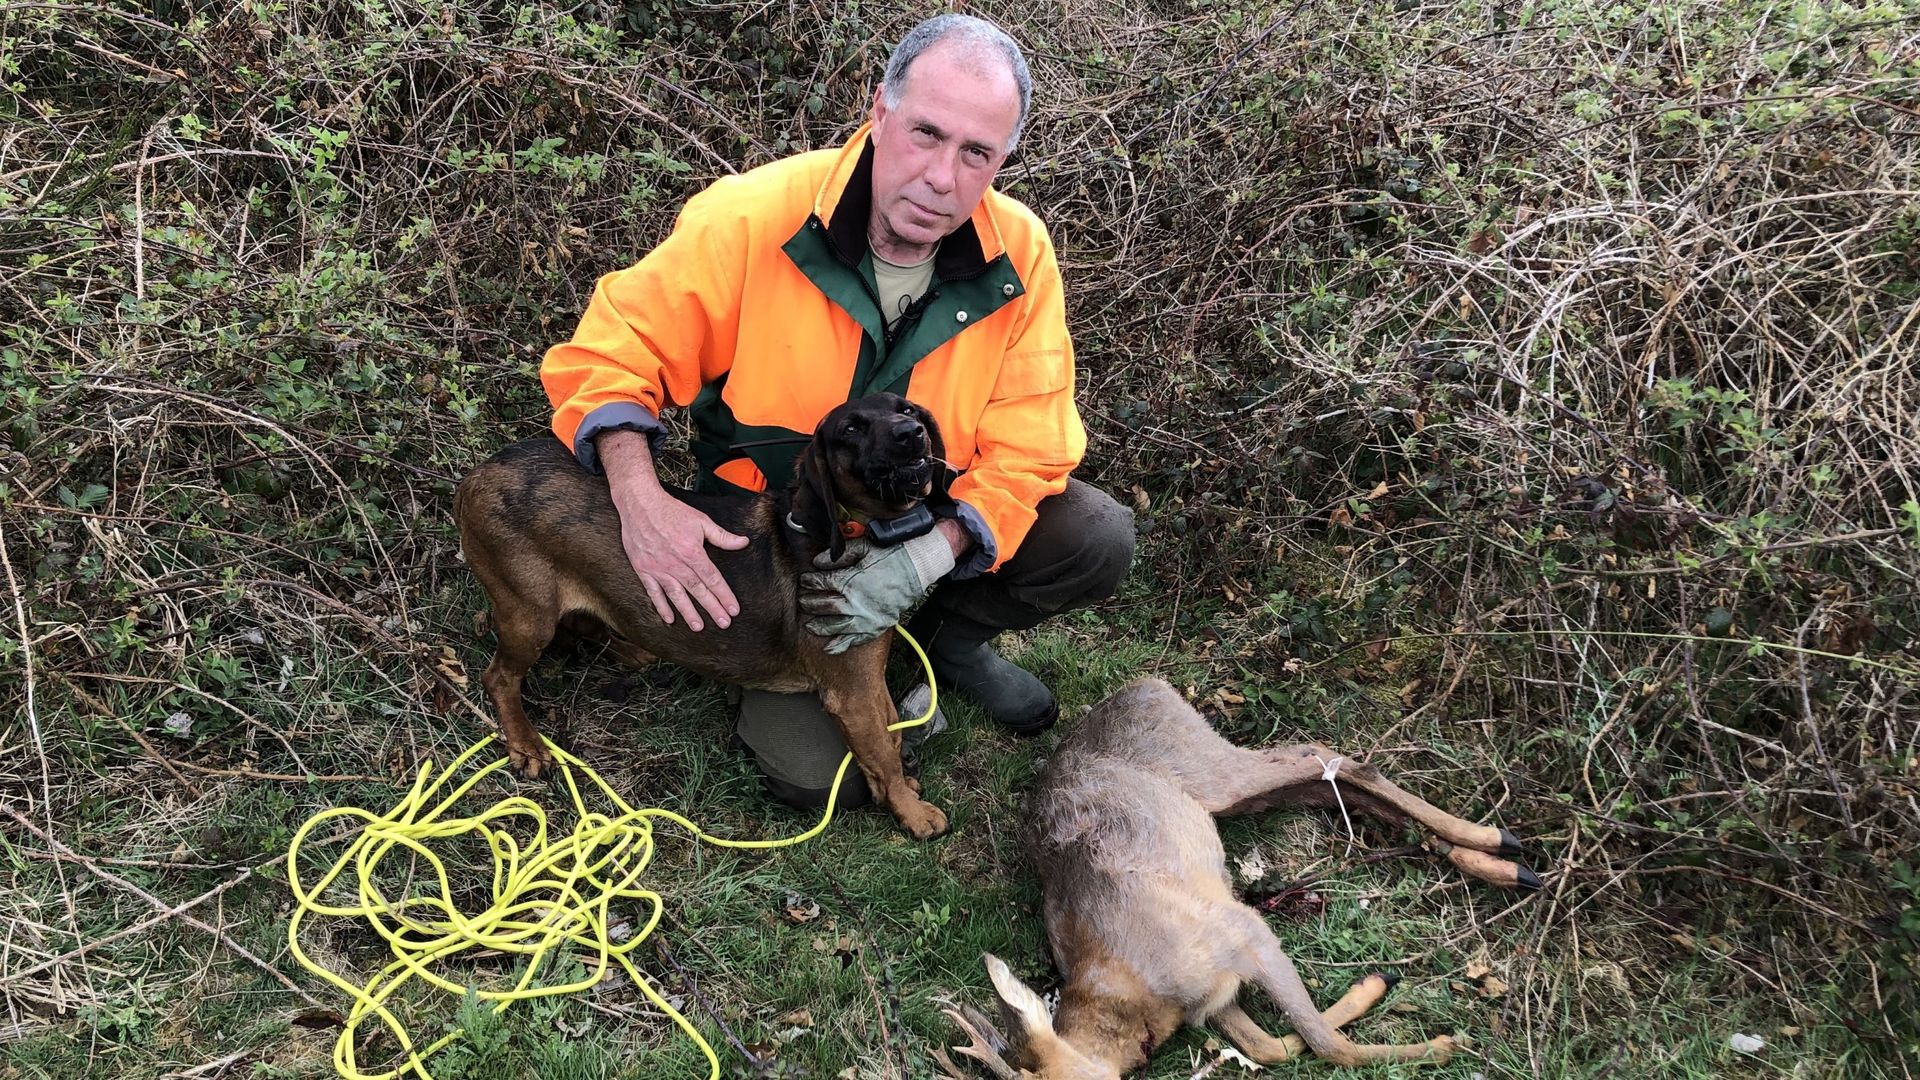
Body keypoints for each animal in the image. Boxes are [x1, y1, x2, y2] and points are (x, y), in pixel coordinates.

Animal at [451, 390, 960, 837]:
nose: (912, 433)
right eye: (851, 428)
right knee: (499, 677)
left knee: (578, 622)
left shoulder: (868, 673)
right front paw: (912, 812)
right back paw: (525, 742)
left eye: (908, 409)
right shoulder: (850, 691)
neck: (855, 530)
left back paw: (629, 649)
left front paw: (903, 788)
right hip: (528, 614)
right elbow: (883, 754)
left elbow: (891, 736)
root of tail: (478, 472)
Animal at [936, 676, 1536, 1068]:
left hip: (1208, 768)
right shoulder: (1215, 997)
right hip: (1227, 794)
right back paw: (1499, 863)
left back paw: (1497, 843)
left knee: (1325, 756)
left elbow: (1326, 1044)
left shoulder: (1243, 931)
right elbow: (1269, 1048)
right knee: (1324, 780)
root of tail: (1145, 683)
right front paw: (1377, 985)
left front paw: (1444, 1044)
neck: (1132, 995)